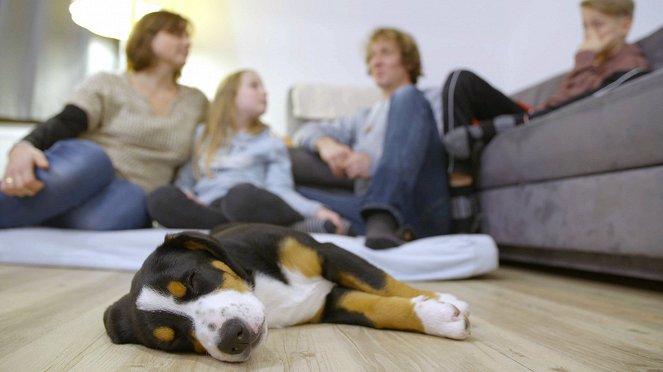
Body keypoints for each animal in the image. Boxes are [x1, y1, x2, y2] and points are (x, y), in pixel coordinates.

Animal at [104, 222, 470, 362]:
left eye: (193, 279)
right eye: (175, 340)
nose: (232, 336)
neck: (267, 293)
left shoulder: (328, 253)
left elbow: (384, 282)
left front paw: (440, 300)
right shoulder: (330, 303)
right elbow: (377, 309)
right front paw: (438, 317)